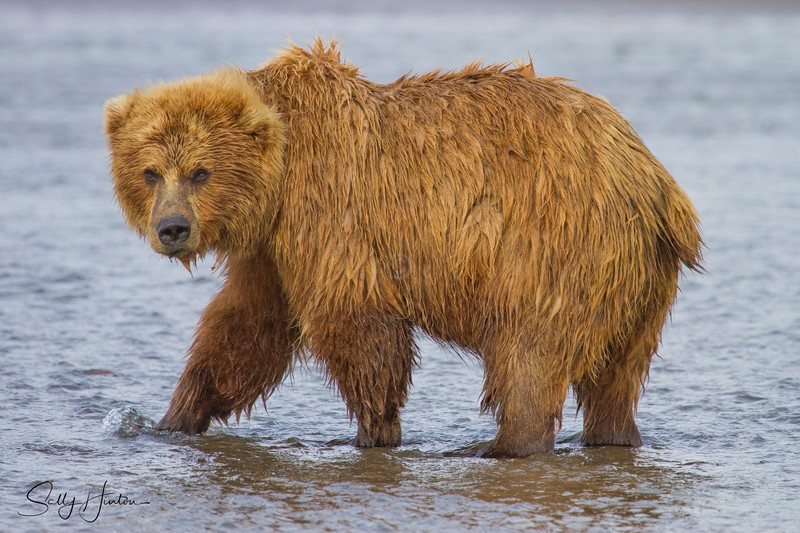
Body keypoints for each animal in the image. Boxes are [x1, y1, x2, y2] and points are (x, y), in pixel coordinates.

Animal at [104, 39, 702, 457]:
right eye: (150, 171)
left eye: (200, 172)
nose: (173, 228)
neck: (277, 176)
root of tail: (653, 180)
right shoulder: (270, 250)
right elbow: (247, 328)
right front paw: (172, 419)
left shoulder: (329, 206)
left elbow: (355, 320)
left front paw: (375, 430)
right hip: (639, 284)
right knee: (616, 380)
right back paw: (612, 436)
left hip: (555, 247)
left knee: (528, 356)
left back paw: (501, 446)